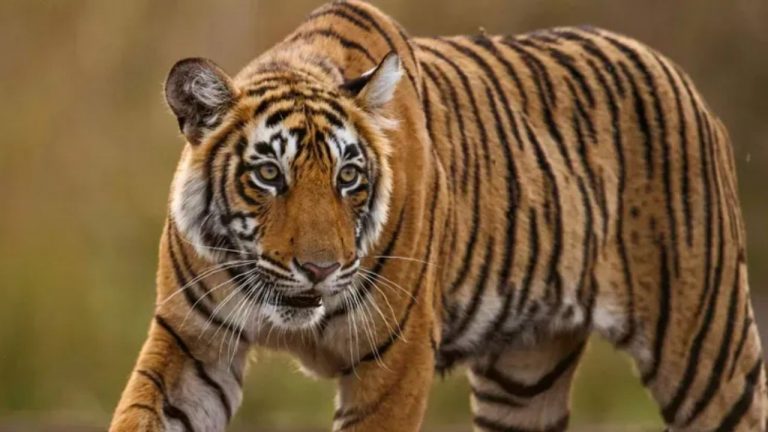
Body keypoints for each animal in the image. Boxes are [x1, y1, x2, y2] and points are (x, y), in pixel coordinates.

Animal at [109, 1, 767, 431]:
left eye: (349, 177)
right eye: (269, 174)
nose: (320, 270)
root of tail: (676, 72)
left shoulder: (394, 363)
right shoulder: (192, 344)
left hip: (703, 343)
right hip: (523, 375)